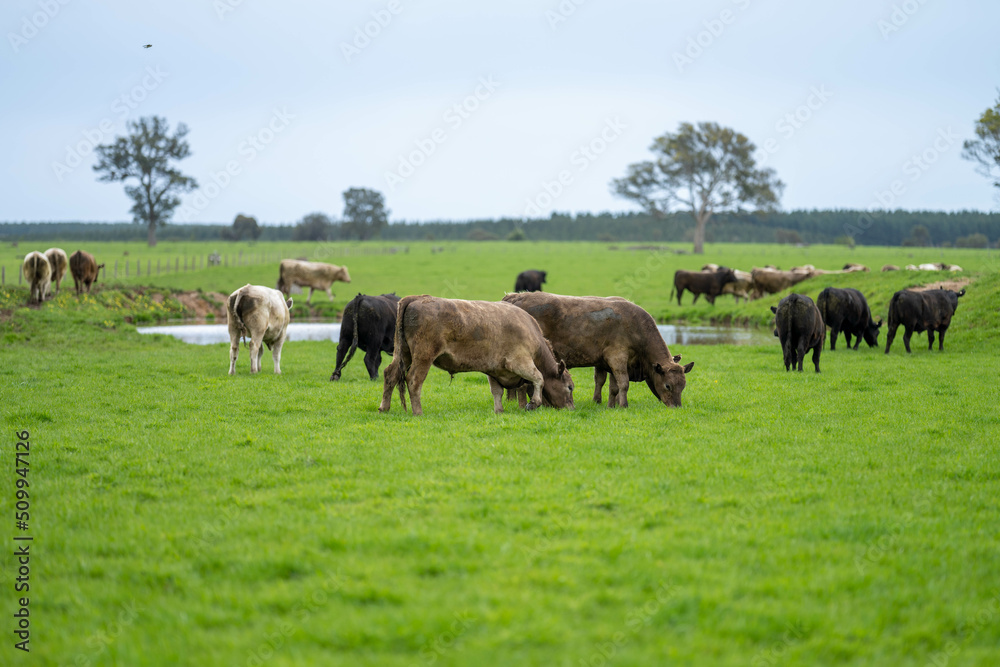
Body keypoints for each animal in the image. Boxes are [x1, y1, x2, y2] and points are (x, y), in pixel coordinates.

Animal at [379, 296, 574, 415]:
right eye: (570, 387)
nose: (571, 408)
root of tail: (417, 298)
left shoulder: (495, 369)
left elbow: (497, 391)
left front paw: (499, 411)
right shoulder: (520, 362)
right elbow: (539, 378)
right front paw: (533, 403)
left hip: (403, 354)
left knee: (391, 374)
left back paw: (384, 408)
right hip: (423, 356)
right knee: (414, 380)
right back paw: (418, 412)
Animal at [502, 292, 694, 408]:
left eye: (683, 385)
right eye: (668, 385)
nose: (677, 407)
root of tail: (515, 296)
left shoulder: (609, 361)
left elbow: (611, 385)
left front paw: (609, 405)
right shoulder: (618, 357)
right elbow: (623, 383)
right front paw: (623, 405)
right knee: (524, 385)